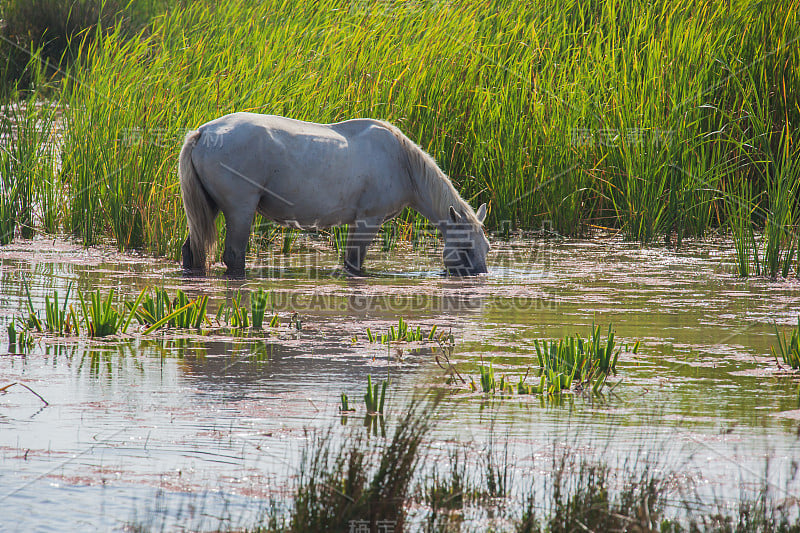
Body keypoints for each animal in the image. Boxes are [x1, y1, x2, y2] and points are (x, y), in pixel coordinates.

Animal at [180, 112, 488, 278]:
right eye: (465, 248)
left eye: (486, 247)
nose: (480, 276)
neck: (402, 162)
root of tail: (203, 132)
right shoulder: (368, 221)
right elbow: (354, 263)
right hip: (239, 211)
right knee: (234, 255)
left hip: (209, 208)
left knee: (191, 250)